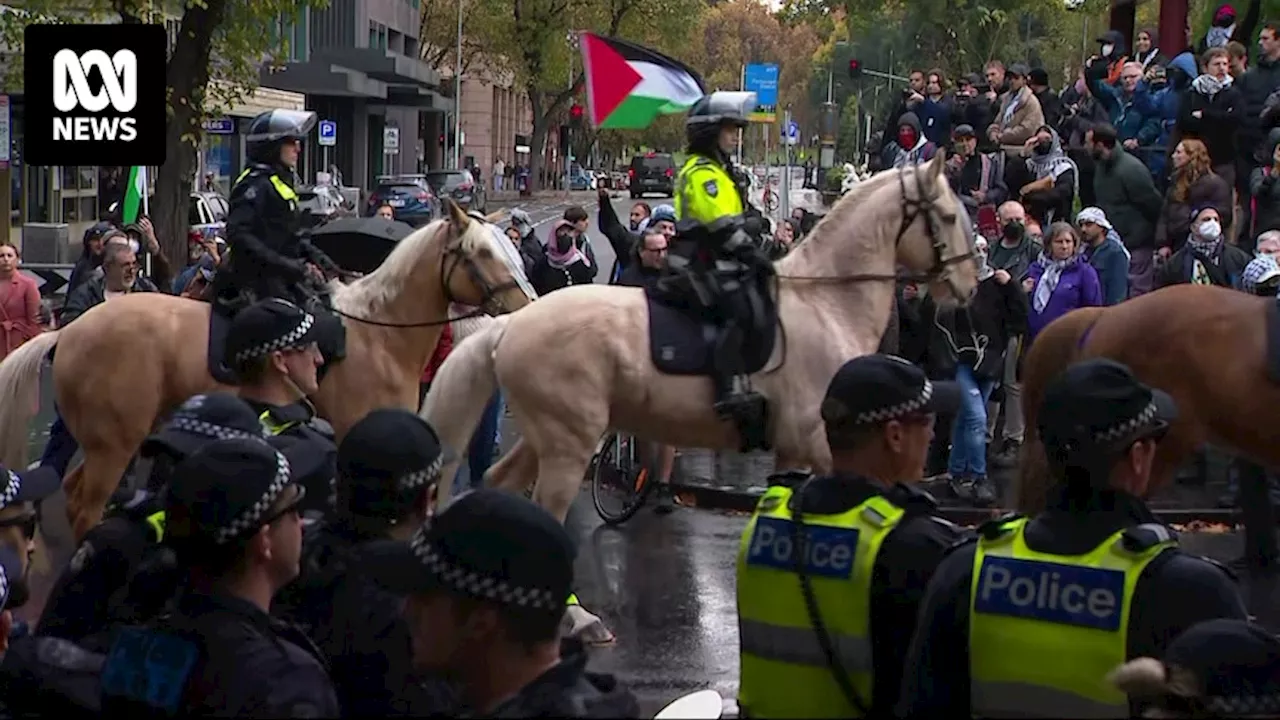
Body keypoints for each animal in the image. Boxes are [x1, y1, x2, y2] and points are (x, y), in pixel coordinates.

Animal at [0, 198, 535, 535]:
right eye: (481, 252)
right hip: (115, 441)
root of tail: (68, 331)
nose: (526, 305)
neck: (378, 332)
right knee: (84, 506)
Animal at [422, 152, 977, 520]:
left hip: (548, 437)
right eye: (949, 216)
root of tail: (514, 321)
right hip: (567, 442)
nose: (969, 284)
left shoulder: (794, 448)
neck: (827, 302)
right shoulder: (819, 443)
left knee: (499, 482)